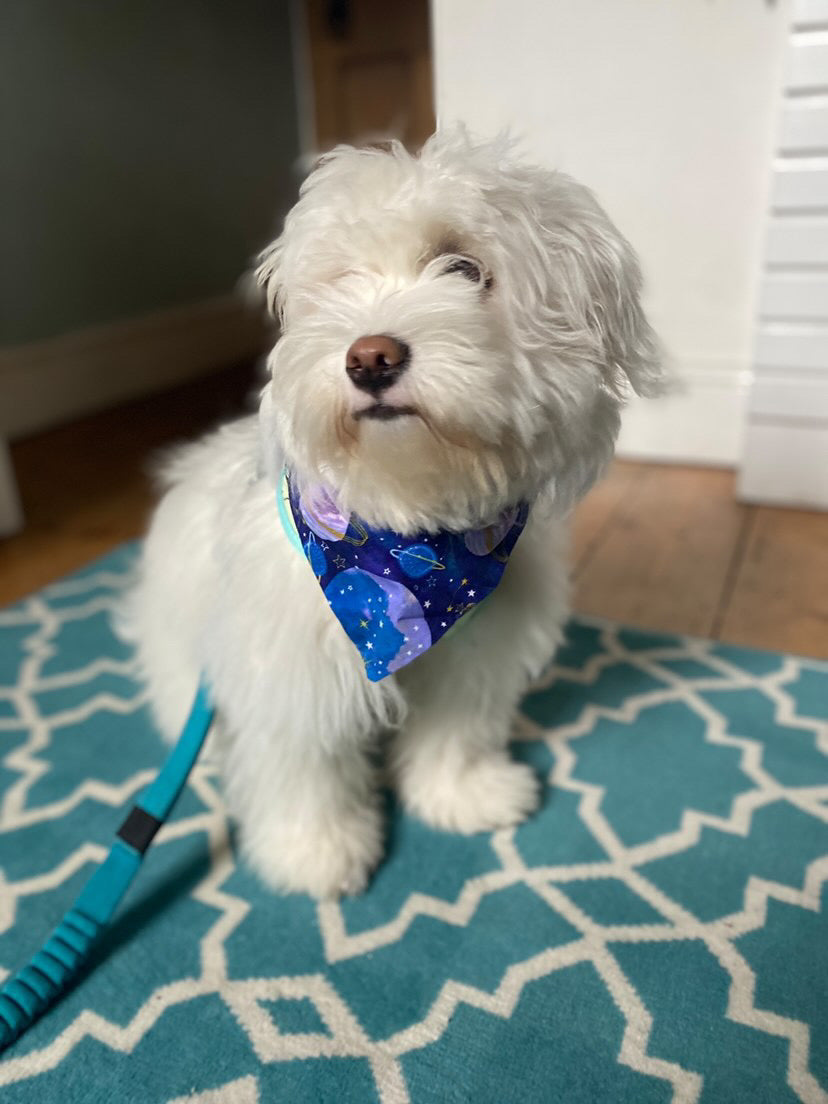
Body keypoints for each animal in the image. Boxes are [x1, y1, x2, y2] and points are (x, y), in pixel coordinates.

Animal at [128, 126, 662, 896]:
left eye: (465, 268)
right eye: (341, 280)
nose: (369, 357)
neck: (409, 536)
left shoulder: (473, 651)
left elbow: (455, 731)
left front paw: (461, 794)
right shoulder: (290, 668)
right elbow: (305, 766)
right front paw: (314, 850)